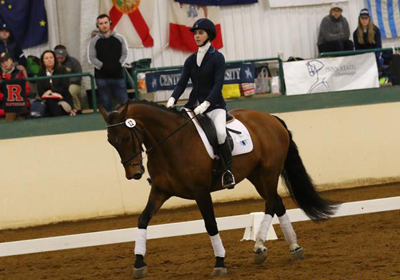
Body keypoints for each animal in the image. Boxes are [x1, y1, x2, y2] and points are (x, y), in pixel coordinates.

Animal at [99, 100, 338, 278]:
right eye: (111, 141)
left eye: (125, 137)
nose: (133, 174)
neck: (171, 143)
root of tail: (271, 118)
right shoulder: (160, 191)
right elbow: (142, 220)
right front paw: (139, 263)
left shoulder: (200, 192)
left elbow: (211, 224)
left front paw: (220, 262)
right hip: (256, 176)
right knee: (277, 203)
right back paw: (294, 247)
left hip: (268, 172)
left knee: (271, 203)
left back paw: (259, 248)